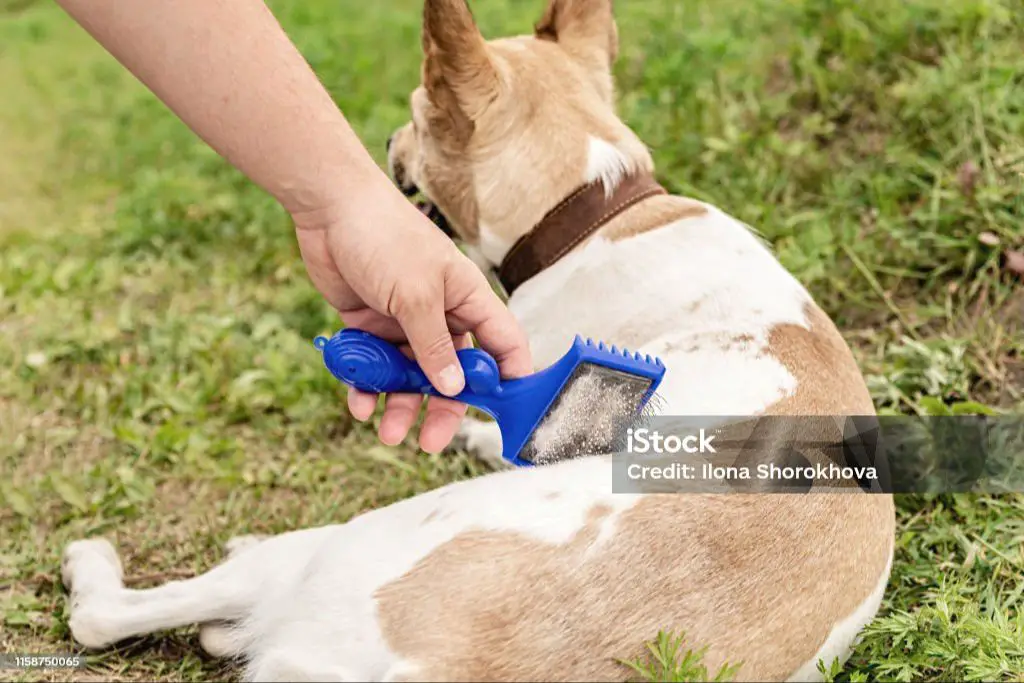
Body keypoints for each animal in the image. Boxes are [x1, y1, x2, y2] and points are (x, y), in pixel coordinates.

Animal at [61, 2, 897, 679]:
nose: (386, 137)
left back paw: (101, 566)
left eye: (416, 108)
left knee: (109, 616)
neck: (597, 207)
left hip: (339, 545)